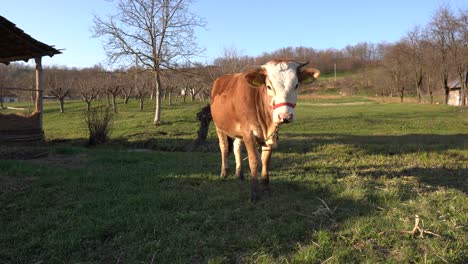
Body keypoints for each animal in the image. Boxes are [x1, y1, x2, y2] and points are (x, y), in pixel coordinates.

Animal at [210, 59, 320, 200]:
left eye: (296, 85)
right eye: (268, 86)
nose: (285, 116)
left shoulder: (268, 135)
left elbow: (265, 160)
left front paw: (266, 187)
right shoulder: (248, 132)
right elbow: (254, 160)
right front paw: (254, 192)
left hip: (238, 131)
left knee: (236, 148)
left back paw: (239, 174)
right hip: (219, 127)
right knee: (224, 148)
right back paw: (224, 173)